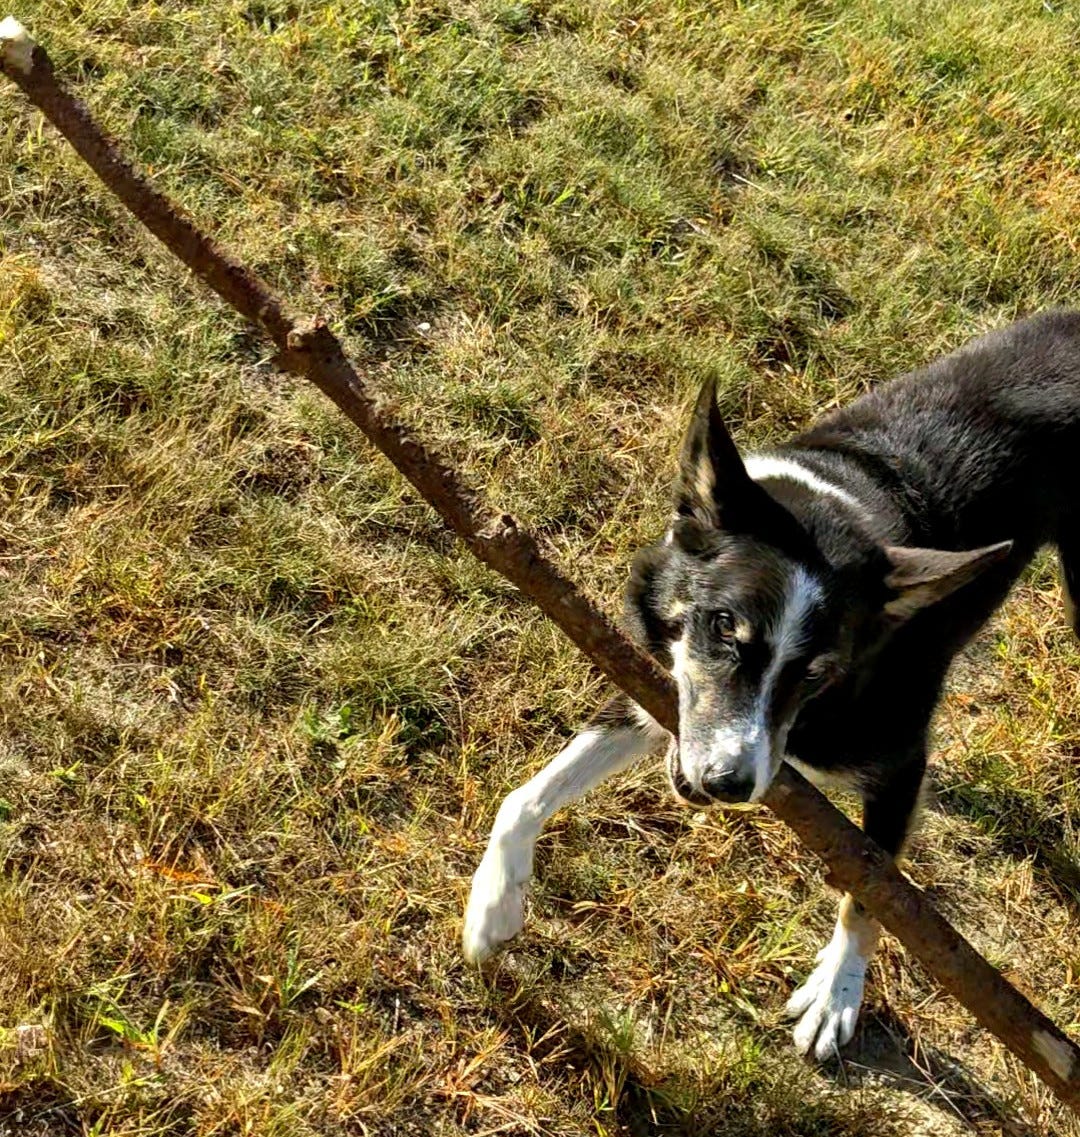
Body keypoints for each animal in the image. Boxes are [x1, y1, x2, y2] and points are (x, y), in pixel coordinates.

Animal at [459, 309, 1080, 1055]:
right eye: (723, 625)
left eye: (818, 671)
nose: (729, 783)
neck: (837, 503)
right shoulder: (661, 685)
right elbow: (526, 794)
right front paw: (493, 905)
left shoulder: (901, 762)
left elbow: (872, 888)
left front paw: (838, 991)